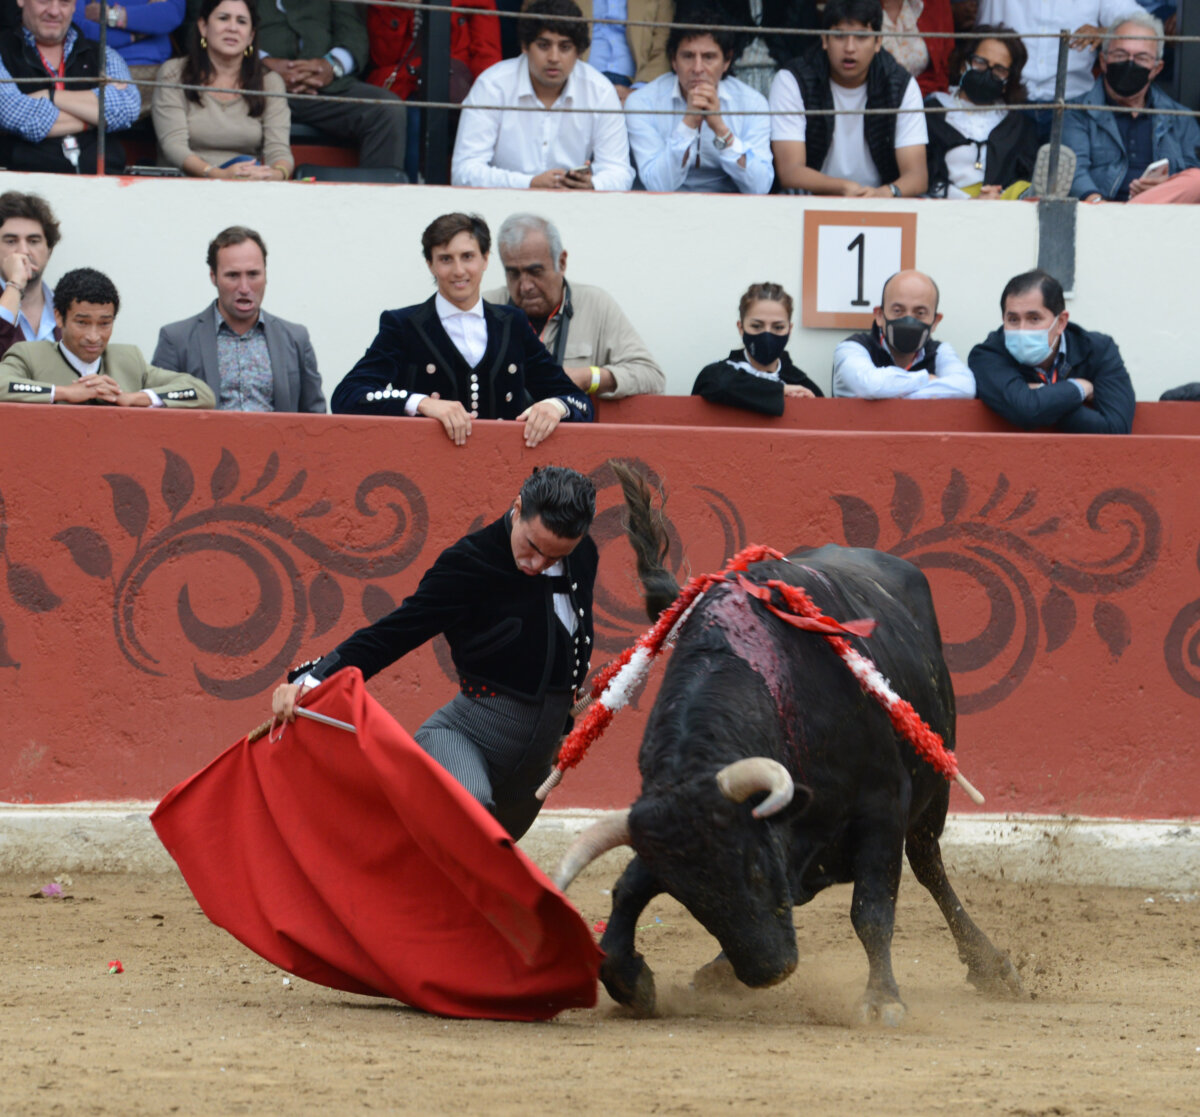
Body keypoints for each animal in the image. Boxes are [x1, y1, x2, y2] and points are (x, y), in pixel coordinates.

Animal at [556, 464, 1023, 1023]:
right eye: (690, 900)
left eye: (755, 869)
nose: (769, 970)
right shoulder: (669, 827)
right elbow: (629, 886)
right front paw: (632, 981)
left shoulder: (883, 806)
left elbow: (871, 910)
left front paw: (882, 1000)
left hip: (933, 792)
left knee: (929, 864)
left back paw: (992, 966)